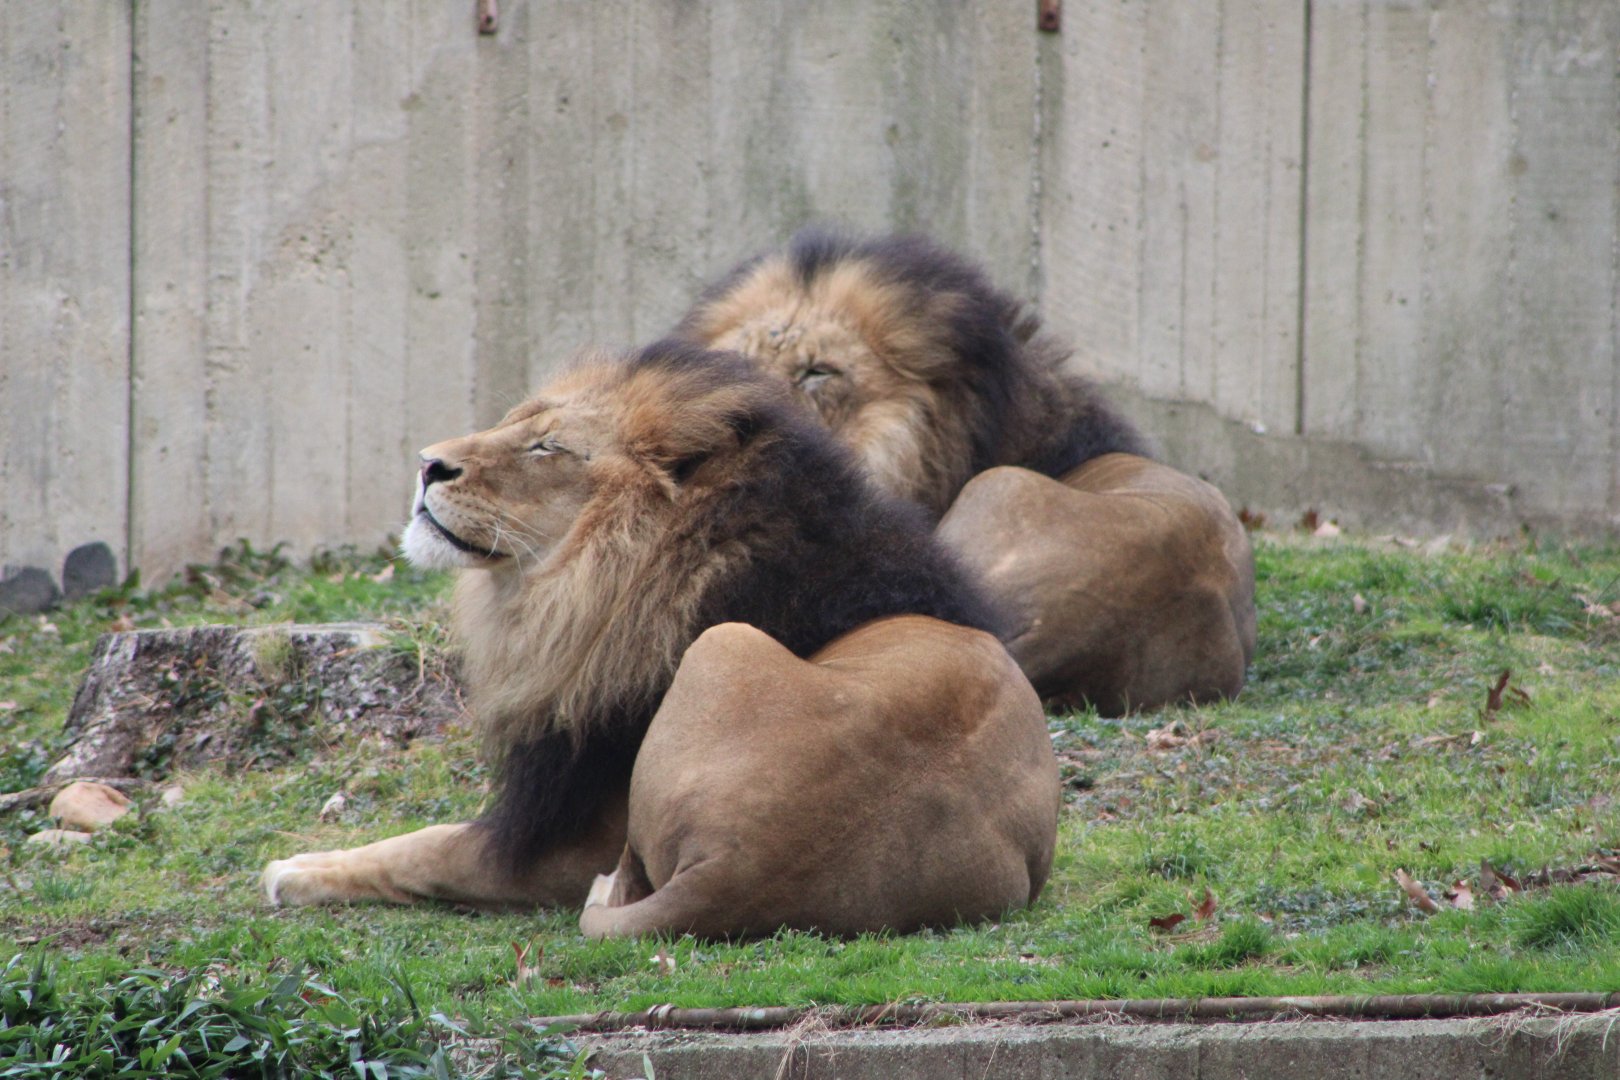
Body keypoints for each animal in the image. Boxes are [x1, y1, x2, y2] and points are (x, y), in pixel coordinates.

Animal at [262, 341, 1052, 927]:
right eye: (515, 421)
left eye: (548, 447)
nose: (428, 464)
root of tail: (733, 869)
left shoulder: (559, 838)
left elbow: (423, 851)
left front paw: (293, 870)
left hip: (724, 646)